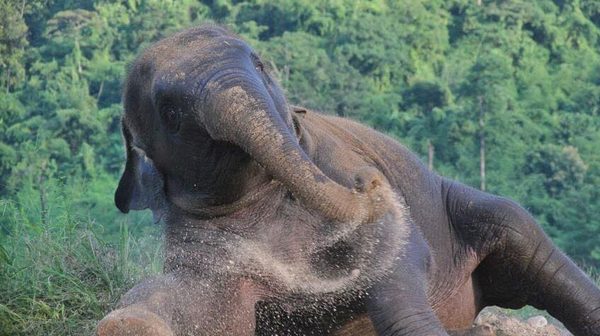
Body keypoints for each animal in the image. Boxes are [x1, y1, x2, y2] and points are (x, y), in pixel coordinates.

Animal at [98, 25, 600, 336]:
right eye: (171, 113)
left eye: (260, 65)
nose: (372, 183)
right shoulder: (200, 242)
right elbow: (212, 308)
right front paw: (126, 323)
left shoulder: (333, 161)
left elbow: (397, 262)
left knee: (527, 244)